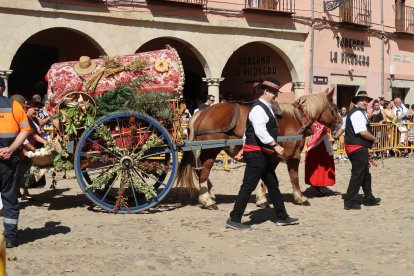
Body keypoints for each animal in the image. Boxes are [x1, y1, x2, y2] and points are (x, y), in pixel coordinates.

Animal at [176, 87, 342, 209]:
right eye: (334, 108)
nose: (341, 124)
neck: (295, 117)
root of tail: (203, 113)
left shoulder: (273, 156)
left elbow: (264, 178)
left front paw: (261, 199)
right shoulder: (293, 156)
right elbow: (294, 177)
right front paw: (300, 197)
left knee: (200, 172)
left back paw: (209, 194)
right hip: (210, 151)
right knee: (203, 173)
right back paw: (207, 200)